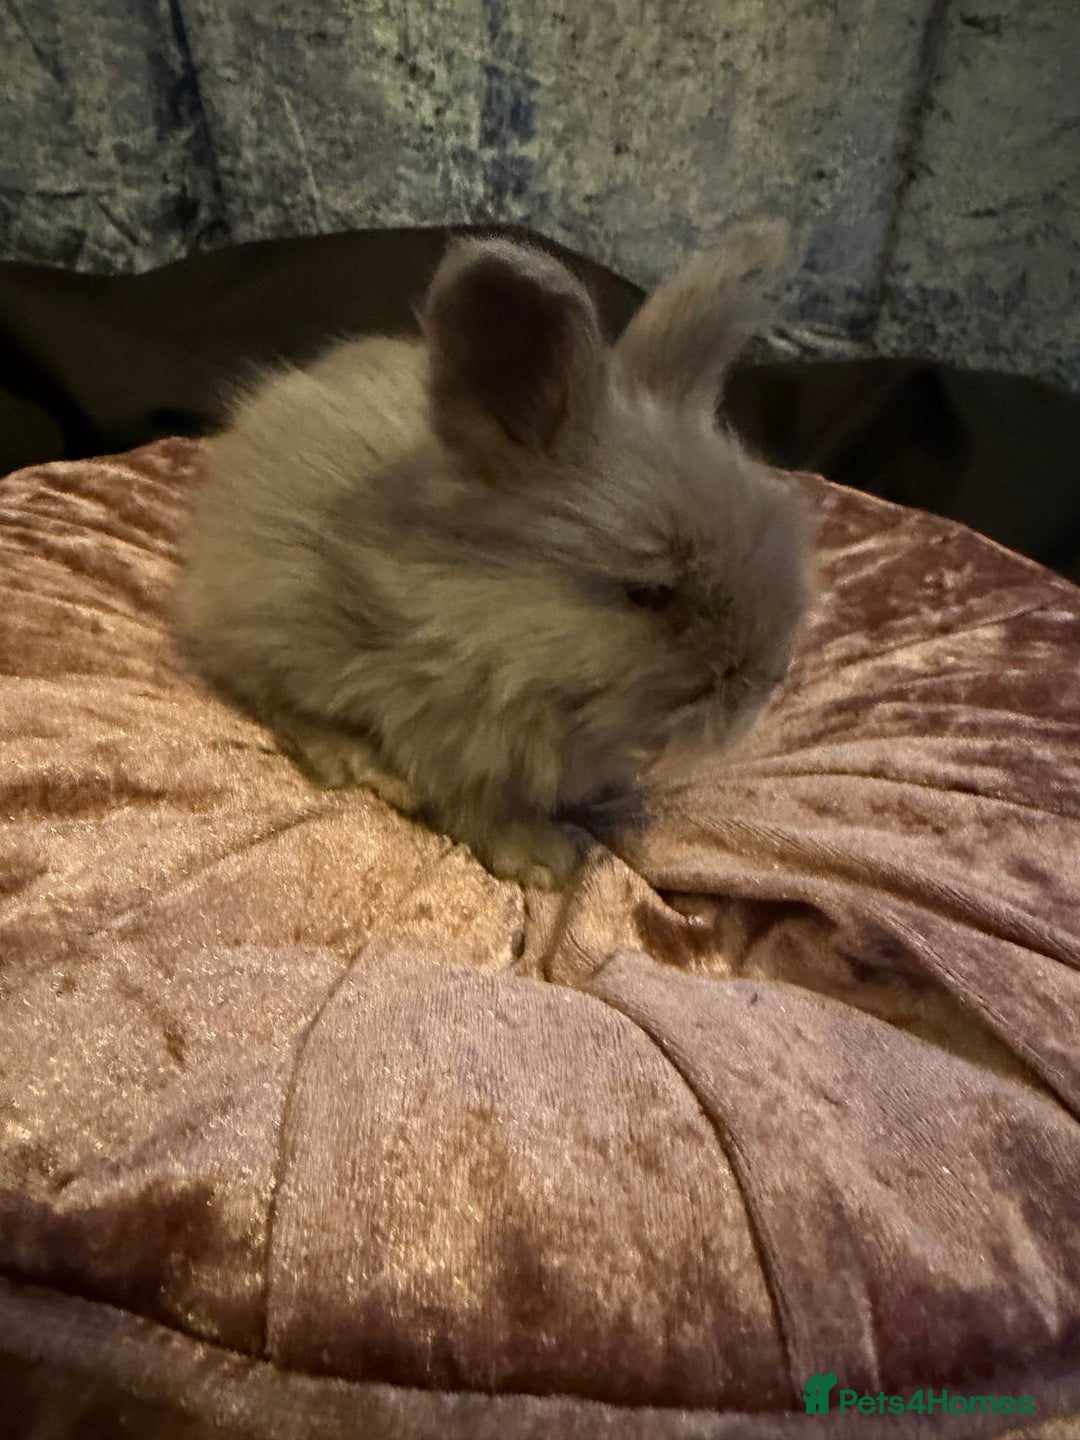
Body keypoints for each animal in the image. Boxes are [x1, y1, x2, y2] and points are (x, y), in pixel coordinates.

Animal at [173, 222, 813, 889]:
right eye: (650, 592)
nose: (764, 685)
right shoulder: (449, 739)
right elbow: (480, 809)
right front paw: (544, 861)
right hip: (268, 621)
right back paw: (355, 760)